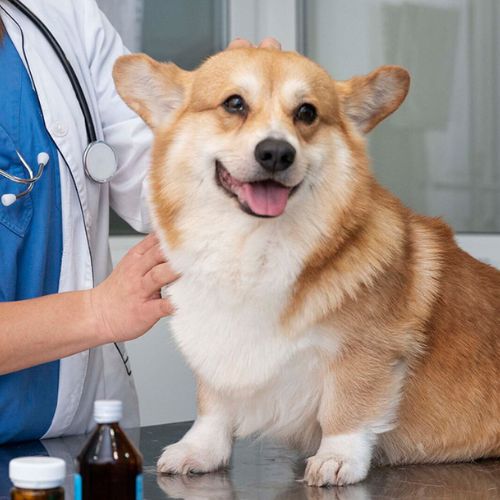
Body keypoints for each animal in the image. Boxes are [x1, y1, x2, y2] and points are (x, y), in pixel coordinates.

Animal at [113, 47, 500, 484]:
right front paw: (199, 450)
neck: (255, 248)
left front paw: (337, 457)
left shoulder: (366, 349)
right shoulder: (217, 350)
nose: (276, 152)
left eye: (307, 113)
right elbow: (213, 405)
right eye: (234, 104)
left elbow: (348, 406)